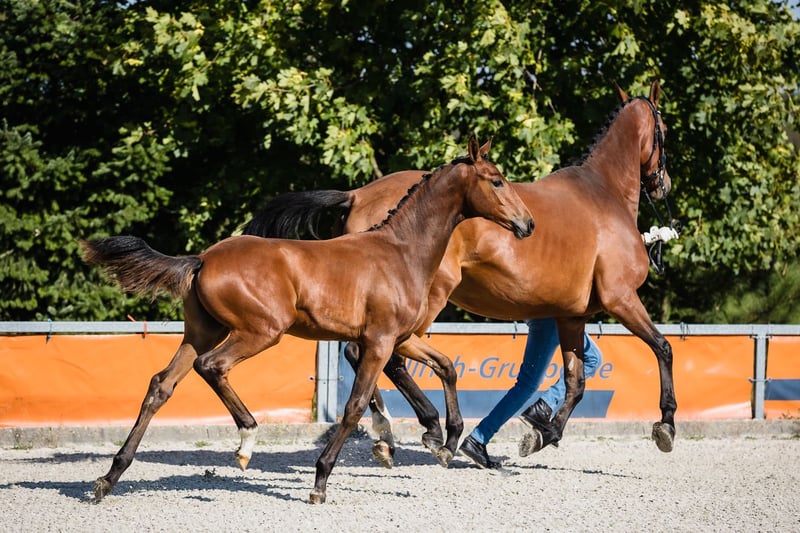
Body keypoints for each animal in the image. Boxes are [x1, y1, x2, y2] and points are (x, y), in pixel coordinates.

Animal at [81, 135, 533, 504]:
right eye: (496, 181)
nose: (527, 224)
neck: (401, 252)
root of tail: (202, 258)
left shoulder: (402, 337)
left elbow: (447, 366)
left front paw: (445, 443)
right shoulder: (380, 340)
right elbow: (353, 406)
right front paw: (321, 482)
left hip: (203, 331)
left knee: (161, 385)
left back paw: (109, 478)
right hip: (260, 331)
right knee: (211, 367)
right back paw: (246, 442)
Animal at [244, 81, 677, 464]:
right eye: (665, 131)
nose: (664, 184)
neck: (603, 194)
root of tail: (357, 195)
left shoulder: (572, 315)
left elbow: (577, 381)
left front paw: (542, 433)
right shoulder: (621, 298)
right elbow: (662, 347)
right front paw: (666, 425)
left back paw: (395, 434)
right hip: (426, 301)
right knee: (380, 356)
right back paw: (424, 429)